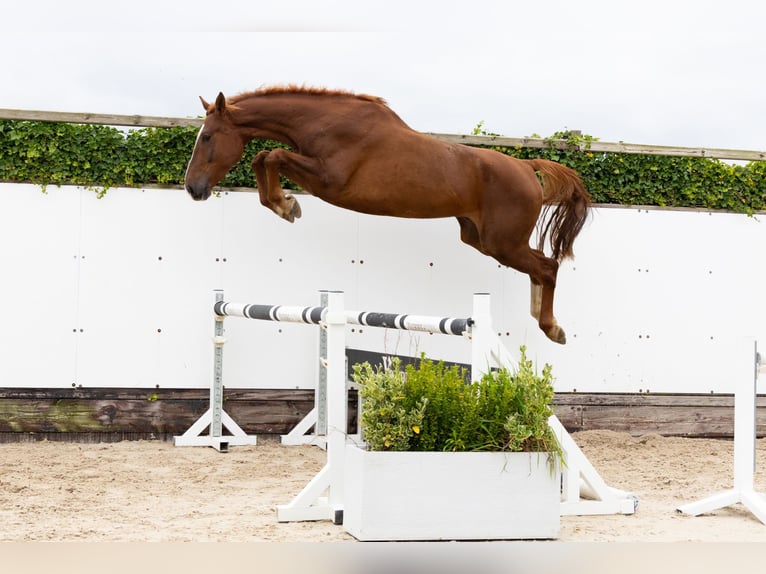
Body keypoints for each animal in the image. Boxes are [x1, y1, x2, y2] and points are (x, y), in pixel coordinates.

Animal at [184, 86, 591, 344]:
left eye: (207, 137)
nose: (193, 189)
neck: (324, 122)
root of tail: (526, 167)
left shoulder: (329, 180)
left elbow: (272, 155)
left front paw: (287, 206)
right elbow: (263, 156)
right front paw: (285, 205)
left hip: (502, 242)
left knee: (547, 267)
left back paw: (552, 328)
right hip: (480, 238)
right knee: (540, 266)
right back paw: (543, 320)